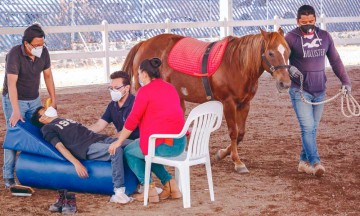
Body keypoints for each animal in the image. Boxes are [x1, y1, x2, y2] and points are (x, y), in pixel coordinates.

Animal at [122, 28, 292, 172]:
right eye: (270, 53)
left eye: (288, 52)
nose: (285, 83)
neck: (237, 64)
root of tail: (144, 43)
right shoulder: (228, 103)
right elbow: (233, 132)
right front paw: (237, 161)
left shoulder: (245, 104)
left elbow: (241, 133)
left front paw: (222, 153)